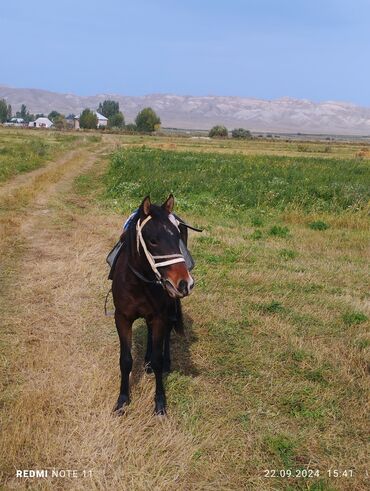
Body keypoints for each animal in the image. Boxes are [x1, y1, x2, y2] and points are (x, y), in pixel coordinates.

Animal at [111, 194, 195, 418]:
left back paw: (166, 363)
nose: (184, 284)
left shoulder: (158, 316)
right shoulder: (122, 318)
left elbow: (158, 358)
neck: (138, 283)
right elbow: (125, 360)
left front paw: (160, 403)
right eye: (153, 240)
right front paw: (122, 401)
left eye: (177, 237)